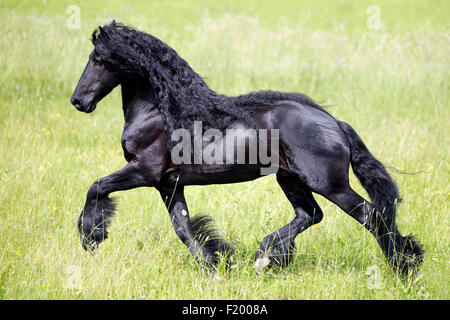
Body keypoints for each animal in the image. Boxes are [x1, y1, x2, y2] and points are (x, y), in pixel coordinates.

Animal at [69, 22, 422, 276]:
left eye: (97, 59)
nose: (78, 101)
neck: (161, 112)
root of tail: (335, 124)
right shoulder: (169, 184)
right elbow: (184, 228)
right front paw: (215, 264)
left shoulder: (143, 172)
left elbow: (96, 187)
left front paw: (91, 237)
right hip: (290, 179)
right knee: (310, 214)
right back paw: (266, 258)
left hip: (329, 185)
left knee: (370, 215)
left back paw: (404, 268)